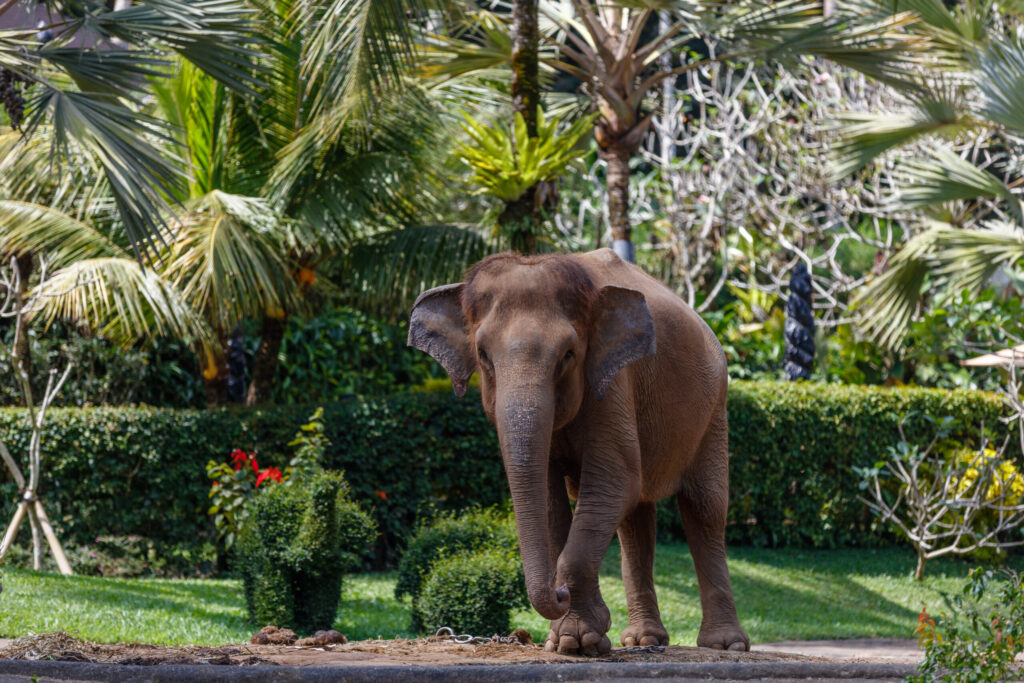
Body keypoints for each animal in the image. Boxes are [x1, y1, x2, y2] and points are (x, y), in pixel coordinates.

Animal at [408, 248, 748, 656]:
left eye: (568, 355)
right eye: (483, 354)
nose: (559, 592)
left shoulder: (612, 383)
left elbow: (615, 482)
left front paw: (579, 638)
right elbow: (553, 499)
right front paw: (570, 641)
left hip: (715, 407)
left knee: (704, 508)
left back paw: (726, 645)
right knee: (635, 520)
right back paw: (644, 640)